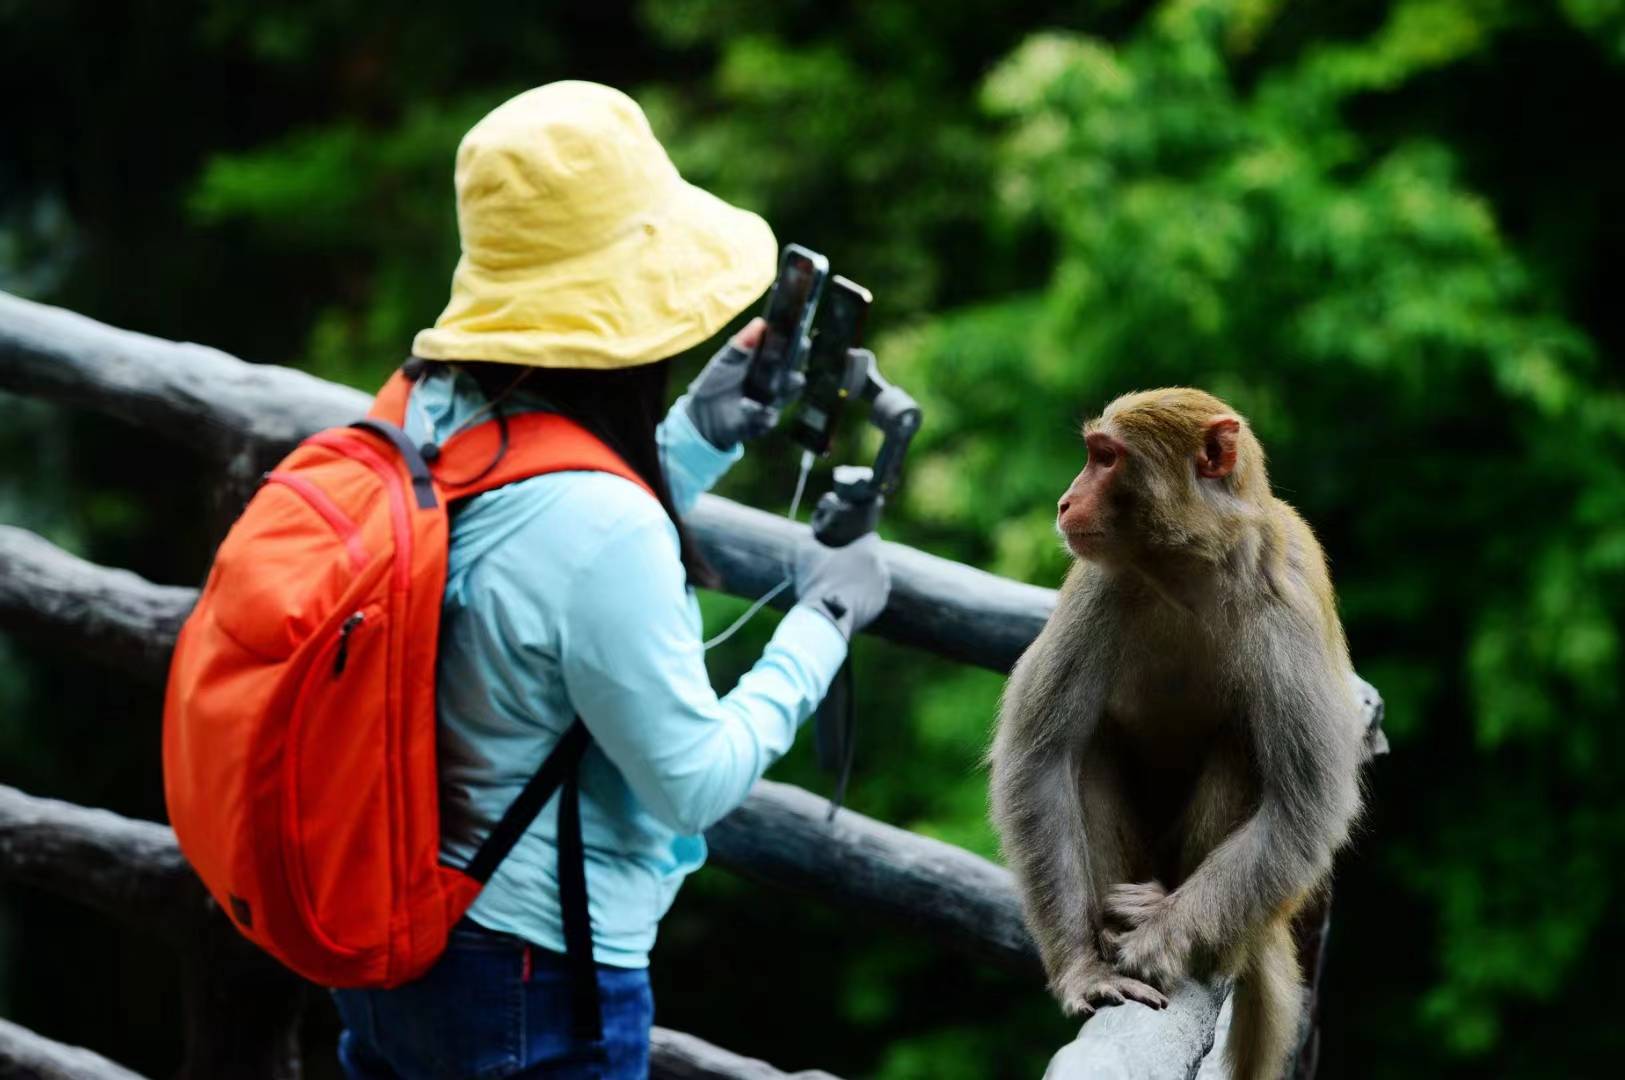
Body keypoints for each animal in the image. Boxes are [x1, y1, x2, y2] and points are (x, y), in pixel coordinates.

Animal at [988, 388, 1358, 1078]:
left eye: (1105, 459)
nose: (1066, 501)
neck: (1191, 567)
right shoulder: (1098, 583)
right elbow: (1042, 758)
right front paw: (1083, 969)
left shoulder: (1286, 602)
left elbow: (1303, 806)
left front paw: (1161, 938)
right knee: (1088, 750)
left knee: (1244, 748)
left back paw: (1183, 929)